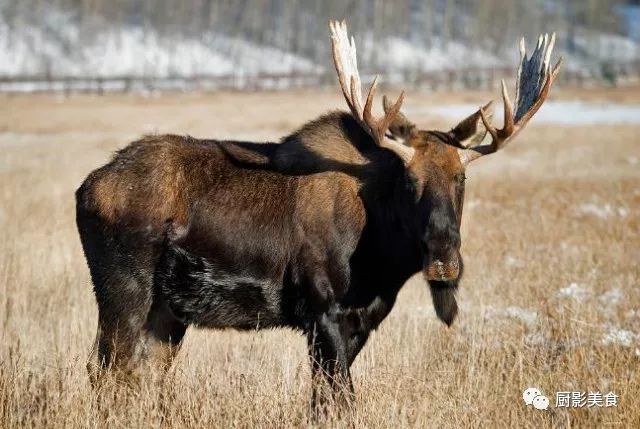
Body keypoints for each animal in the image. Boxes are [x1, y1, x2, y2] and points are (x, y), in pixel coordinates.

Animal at [76, 20, 560, 408]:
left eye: (462, 177)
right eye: (409, 180)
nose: (444, 258)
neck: (382, 262)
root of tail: (87, 187)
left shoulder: (361, 320)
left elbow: (322, 401)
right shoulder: (322, 309)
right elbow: (339, 400)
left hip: (169, 311)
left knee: (140, 375)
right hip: (123, 289)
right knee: (105, 371)